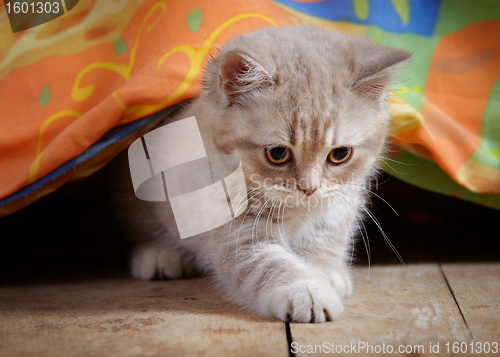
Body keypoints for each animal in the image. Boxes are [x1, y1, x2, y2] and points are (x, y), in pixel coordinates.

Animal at [119, 24, 408, 320]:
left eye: (340, 154)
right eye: (278, 154)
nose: (309, 187)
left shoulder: (342, 201)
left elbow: (327, 236)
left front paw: (325, 271)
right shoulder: (236, 233)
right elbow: (270, 264)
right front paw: (308, 292)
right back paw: (158, 254)